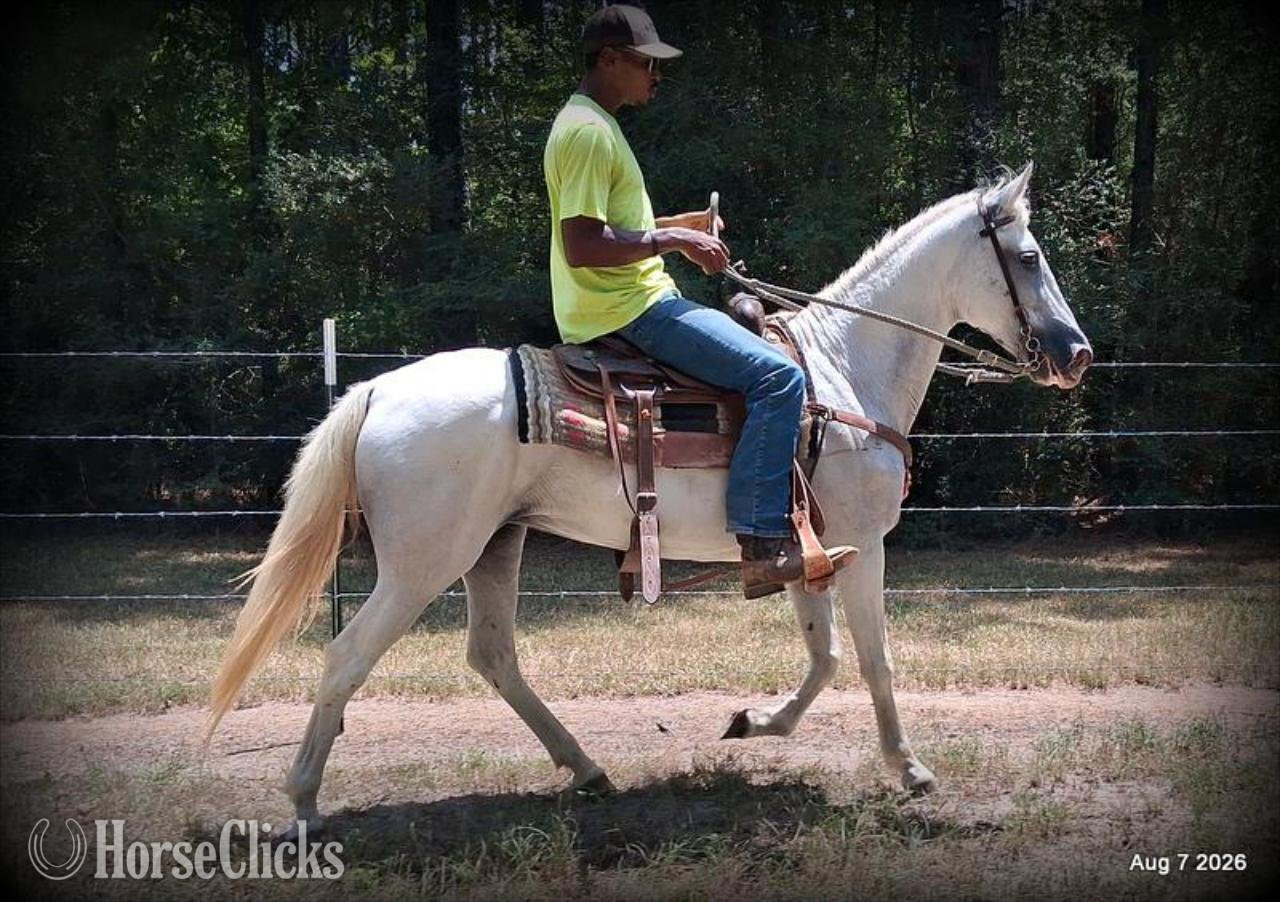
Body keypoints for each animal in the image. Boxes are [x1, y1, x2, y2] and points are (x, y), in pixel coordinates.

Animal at [208, 163, 1092, 833]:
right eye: (1028, 255)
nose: (1076, 353)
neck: (844, 368)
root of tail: (376, 392)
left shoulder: (805, 551)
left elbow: (825, 656)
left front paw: (753, 724)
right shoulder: (863, 543)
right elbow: (872, 658)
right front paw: (909, 769)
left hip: (495, 545)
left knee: (492, 656)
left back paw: (586, 768)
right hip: (422, 564)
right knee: (346, 657)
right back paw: (304, 803)